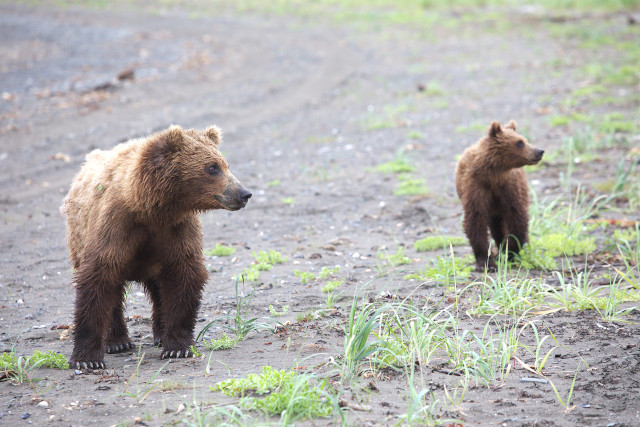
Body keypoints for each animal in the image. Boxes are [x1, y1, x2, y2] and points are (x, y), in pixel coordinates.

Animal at [60, 125, 250, 370]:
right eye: (212, 167)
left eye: (225, 164)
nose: (244, 193)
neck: (149, 208)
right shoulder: (116, 225)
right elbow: (98, 278)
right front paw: (87, 359)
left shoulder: (175, 230)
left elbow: (184, 275)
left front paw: (177, 346)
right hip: (79, 237)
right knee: (113, 291)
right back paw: (117, 341)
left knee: (160, 289)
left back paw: (159, 334)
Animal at [456, 120, 544, 272]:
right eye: (520, 142)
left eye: (524, 140)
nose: (539, 151)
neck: (494, 175)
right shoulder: (476, 186)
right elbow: (475, 219)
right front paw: (486, 263)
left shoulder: (510, 187)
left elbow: (517, 217)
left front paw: (512, 253)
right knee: (496, 225)